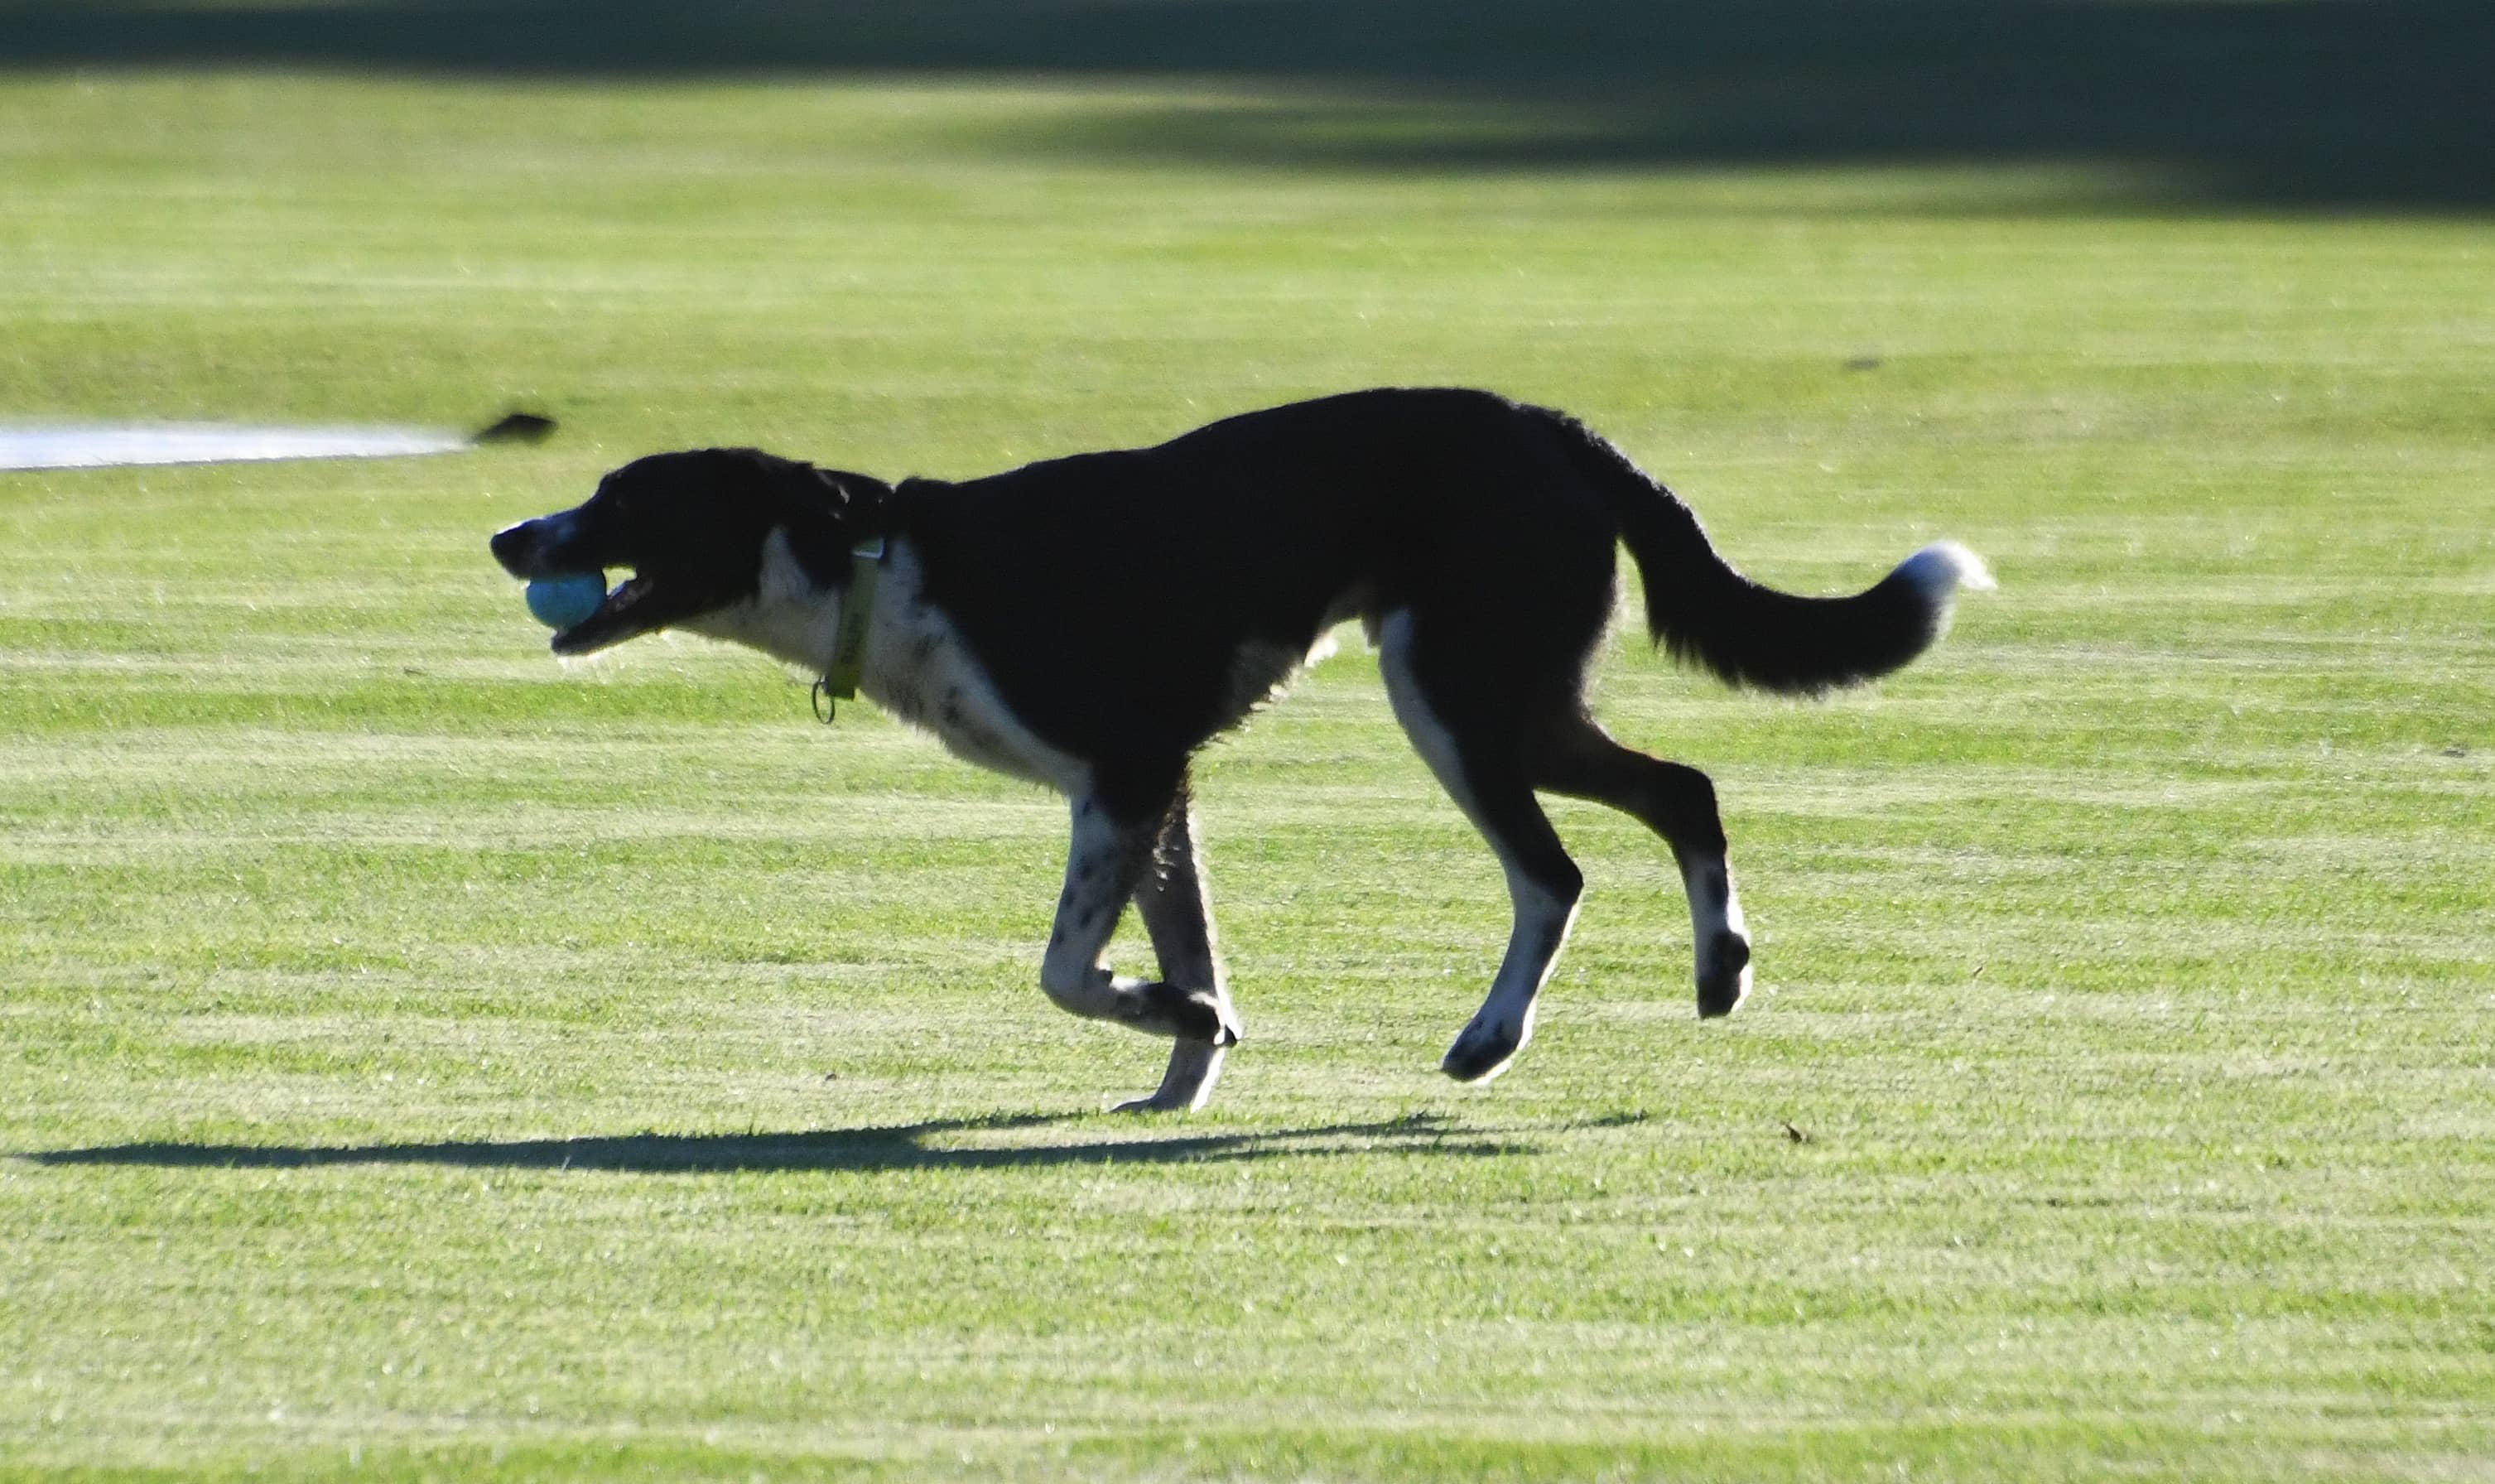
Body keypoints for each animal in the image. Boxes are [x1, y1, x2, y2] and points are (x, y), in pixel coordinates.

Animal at [496, 388, 1996, 1107]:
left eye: (623, 497)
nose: (510, 536)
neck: (878, 565)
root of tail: (1553, 433)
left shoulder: (1122, 776)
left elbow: (1068, 971)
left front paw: (1171, 1021)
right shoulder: (1156, 799)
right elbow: (1189, 951)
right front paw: (1183, 1068)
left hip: (1451, 698)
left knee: (1553, 871)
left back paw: (1489, 1039)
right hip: (1521, 700)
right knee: (1682, 789)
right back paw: (1719, 972)